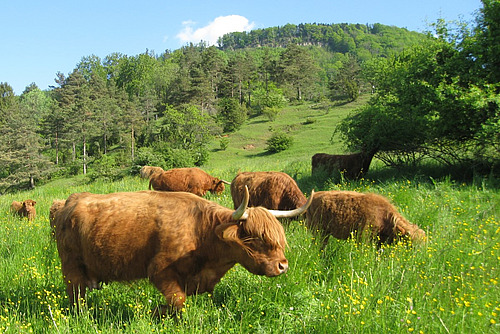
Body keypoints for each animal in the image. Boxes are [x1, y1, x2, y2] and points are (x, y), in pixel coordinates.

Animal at [53, 187, 312, 314]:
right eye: (256, 238)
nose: (282, 265)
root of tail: (69, 201)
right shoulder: (159, 270)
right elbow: (178, 302)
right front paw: (155, 311)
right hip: (71, 268)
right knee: (76, 299)